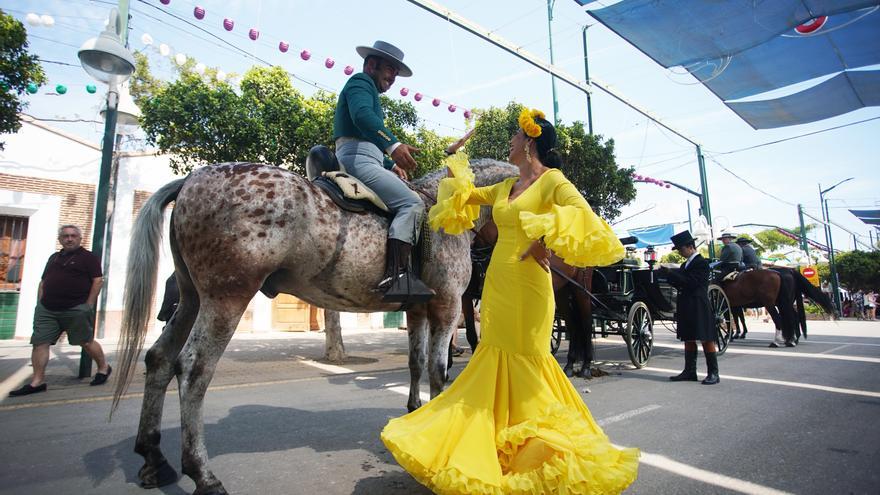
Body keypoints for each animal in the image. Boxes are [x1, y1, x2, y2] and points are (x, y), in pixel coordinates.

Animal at [113, 161, 520, 494]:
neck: (448, 206)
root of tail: (190, 180)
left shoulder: (417, 310)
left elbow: (416, 364)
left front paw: (413, 422)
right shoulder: (447, 306)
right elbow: (438, 371)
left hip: (191, 297)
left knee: (159, 358)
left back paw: (153, 457)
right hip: (225, 298)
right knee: (193, 369)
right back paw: (203, 475)